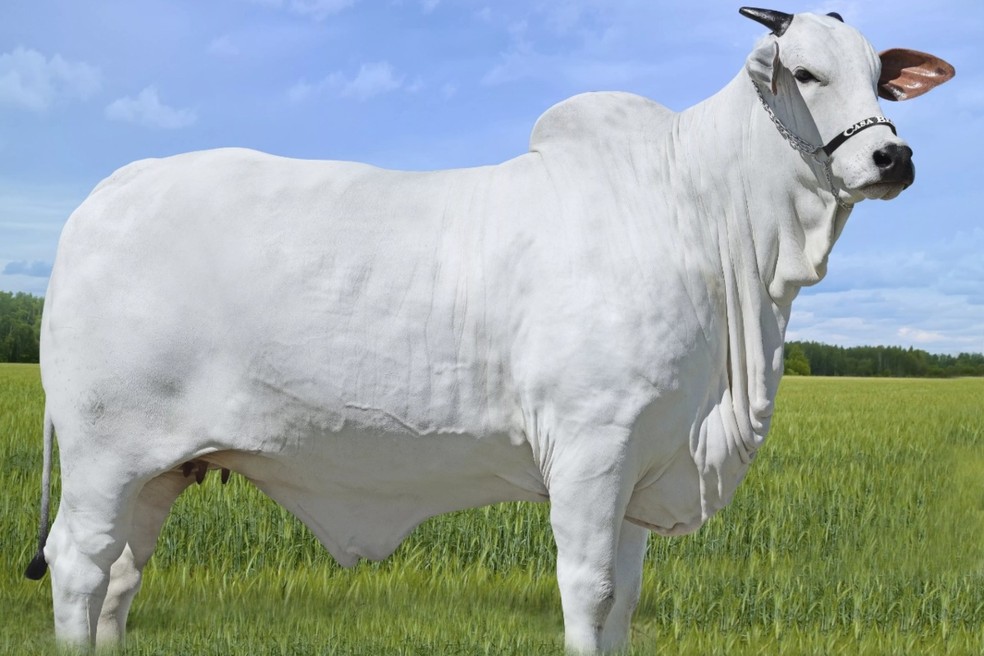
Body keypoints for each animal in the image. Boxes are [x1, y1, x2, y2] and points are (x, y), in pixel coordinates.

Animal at [25, 7, 953, 653]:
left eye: (880, 76)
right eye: (806, 71)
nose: (893, 158)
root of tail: (111, 191)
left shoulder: (644, 468)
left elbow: (626, 599)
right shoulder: (591, 449)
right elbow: (588, 593)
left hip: (160, 469)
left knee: (119, 580)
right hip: (104, 455)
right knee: (77, 566)